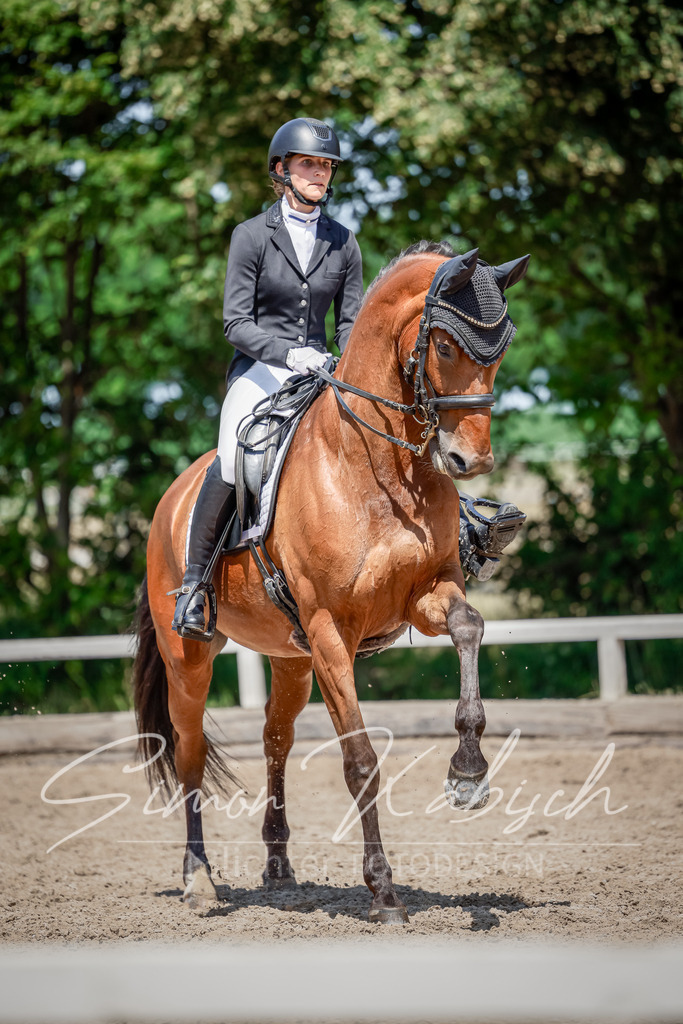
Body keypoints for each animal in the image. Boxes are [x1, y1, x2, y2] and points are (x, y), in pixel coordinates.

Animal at [133, 240, 529, 924]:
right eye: (446, 346)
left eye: (499, 350)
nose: (469, 462)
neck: (381, 464)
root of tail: (171, 500)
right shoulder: (329, 632)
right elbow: (361, 760)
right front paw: (385, 892)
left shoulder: (423, 595)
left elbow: (468, 627)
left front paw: (468, 772)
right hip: (190, 656)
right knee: (188, 752)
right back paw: (199, 881)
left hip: (290, 659)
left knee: (276, 740)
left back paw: (278, 869)